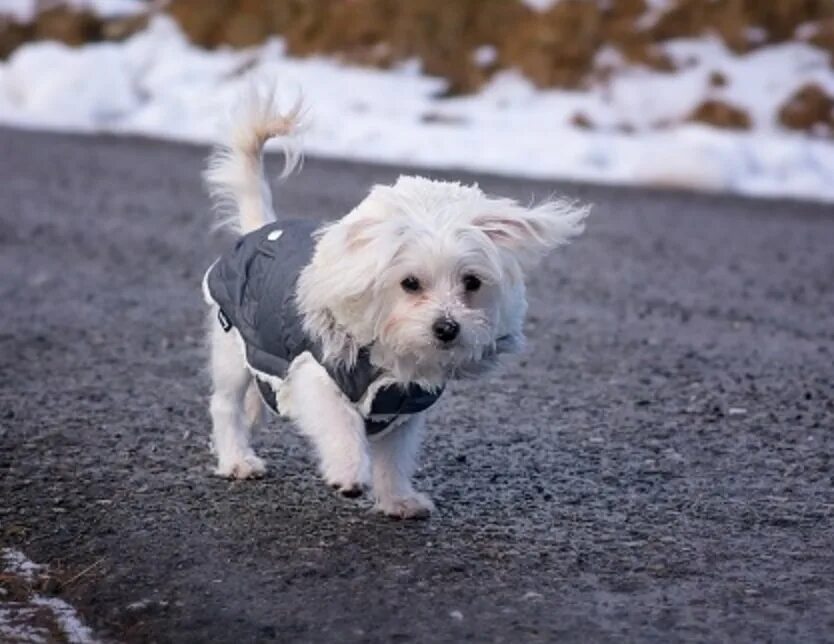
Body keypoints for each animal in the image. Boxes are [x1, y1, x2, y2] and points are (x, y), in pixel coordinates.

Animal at [201, 88, 584, 520]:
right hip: (230, 347)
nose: (447, 327)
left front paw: (397, 499)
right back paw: (236, 459)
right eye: (410, 283)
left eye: (471, 283)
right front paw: (349, 472)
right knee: (225, 406)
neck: (392, 360)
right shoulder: (316, 376)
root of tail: (259, 229)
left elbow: (393, 460)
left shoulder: (402, 409)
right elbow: (341, 423)